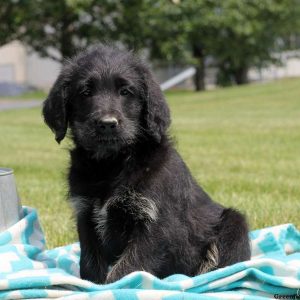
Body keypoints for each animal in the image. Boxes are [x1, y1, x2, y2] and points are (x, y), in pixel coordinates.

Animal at [42, 44, 251, 284]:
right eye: (85, 92)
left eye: (126, 92)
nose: (107, 124)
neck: (112, 164)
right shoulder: (85, 216)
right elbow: (90, 264)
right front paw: (92, 284)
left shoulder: (156, 224)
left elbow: (127, 268)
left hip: (234, 223)